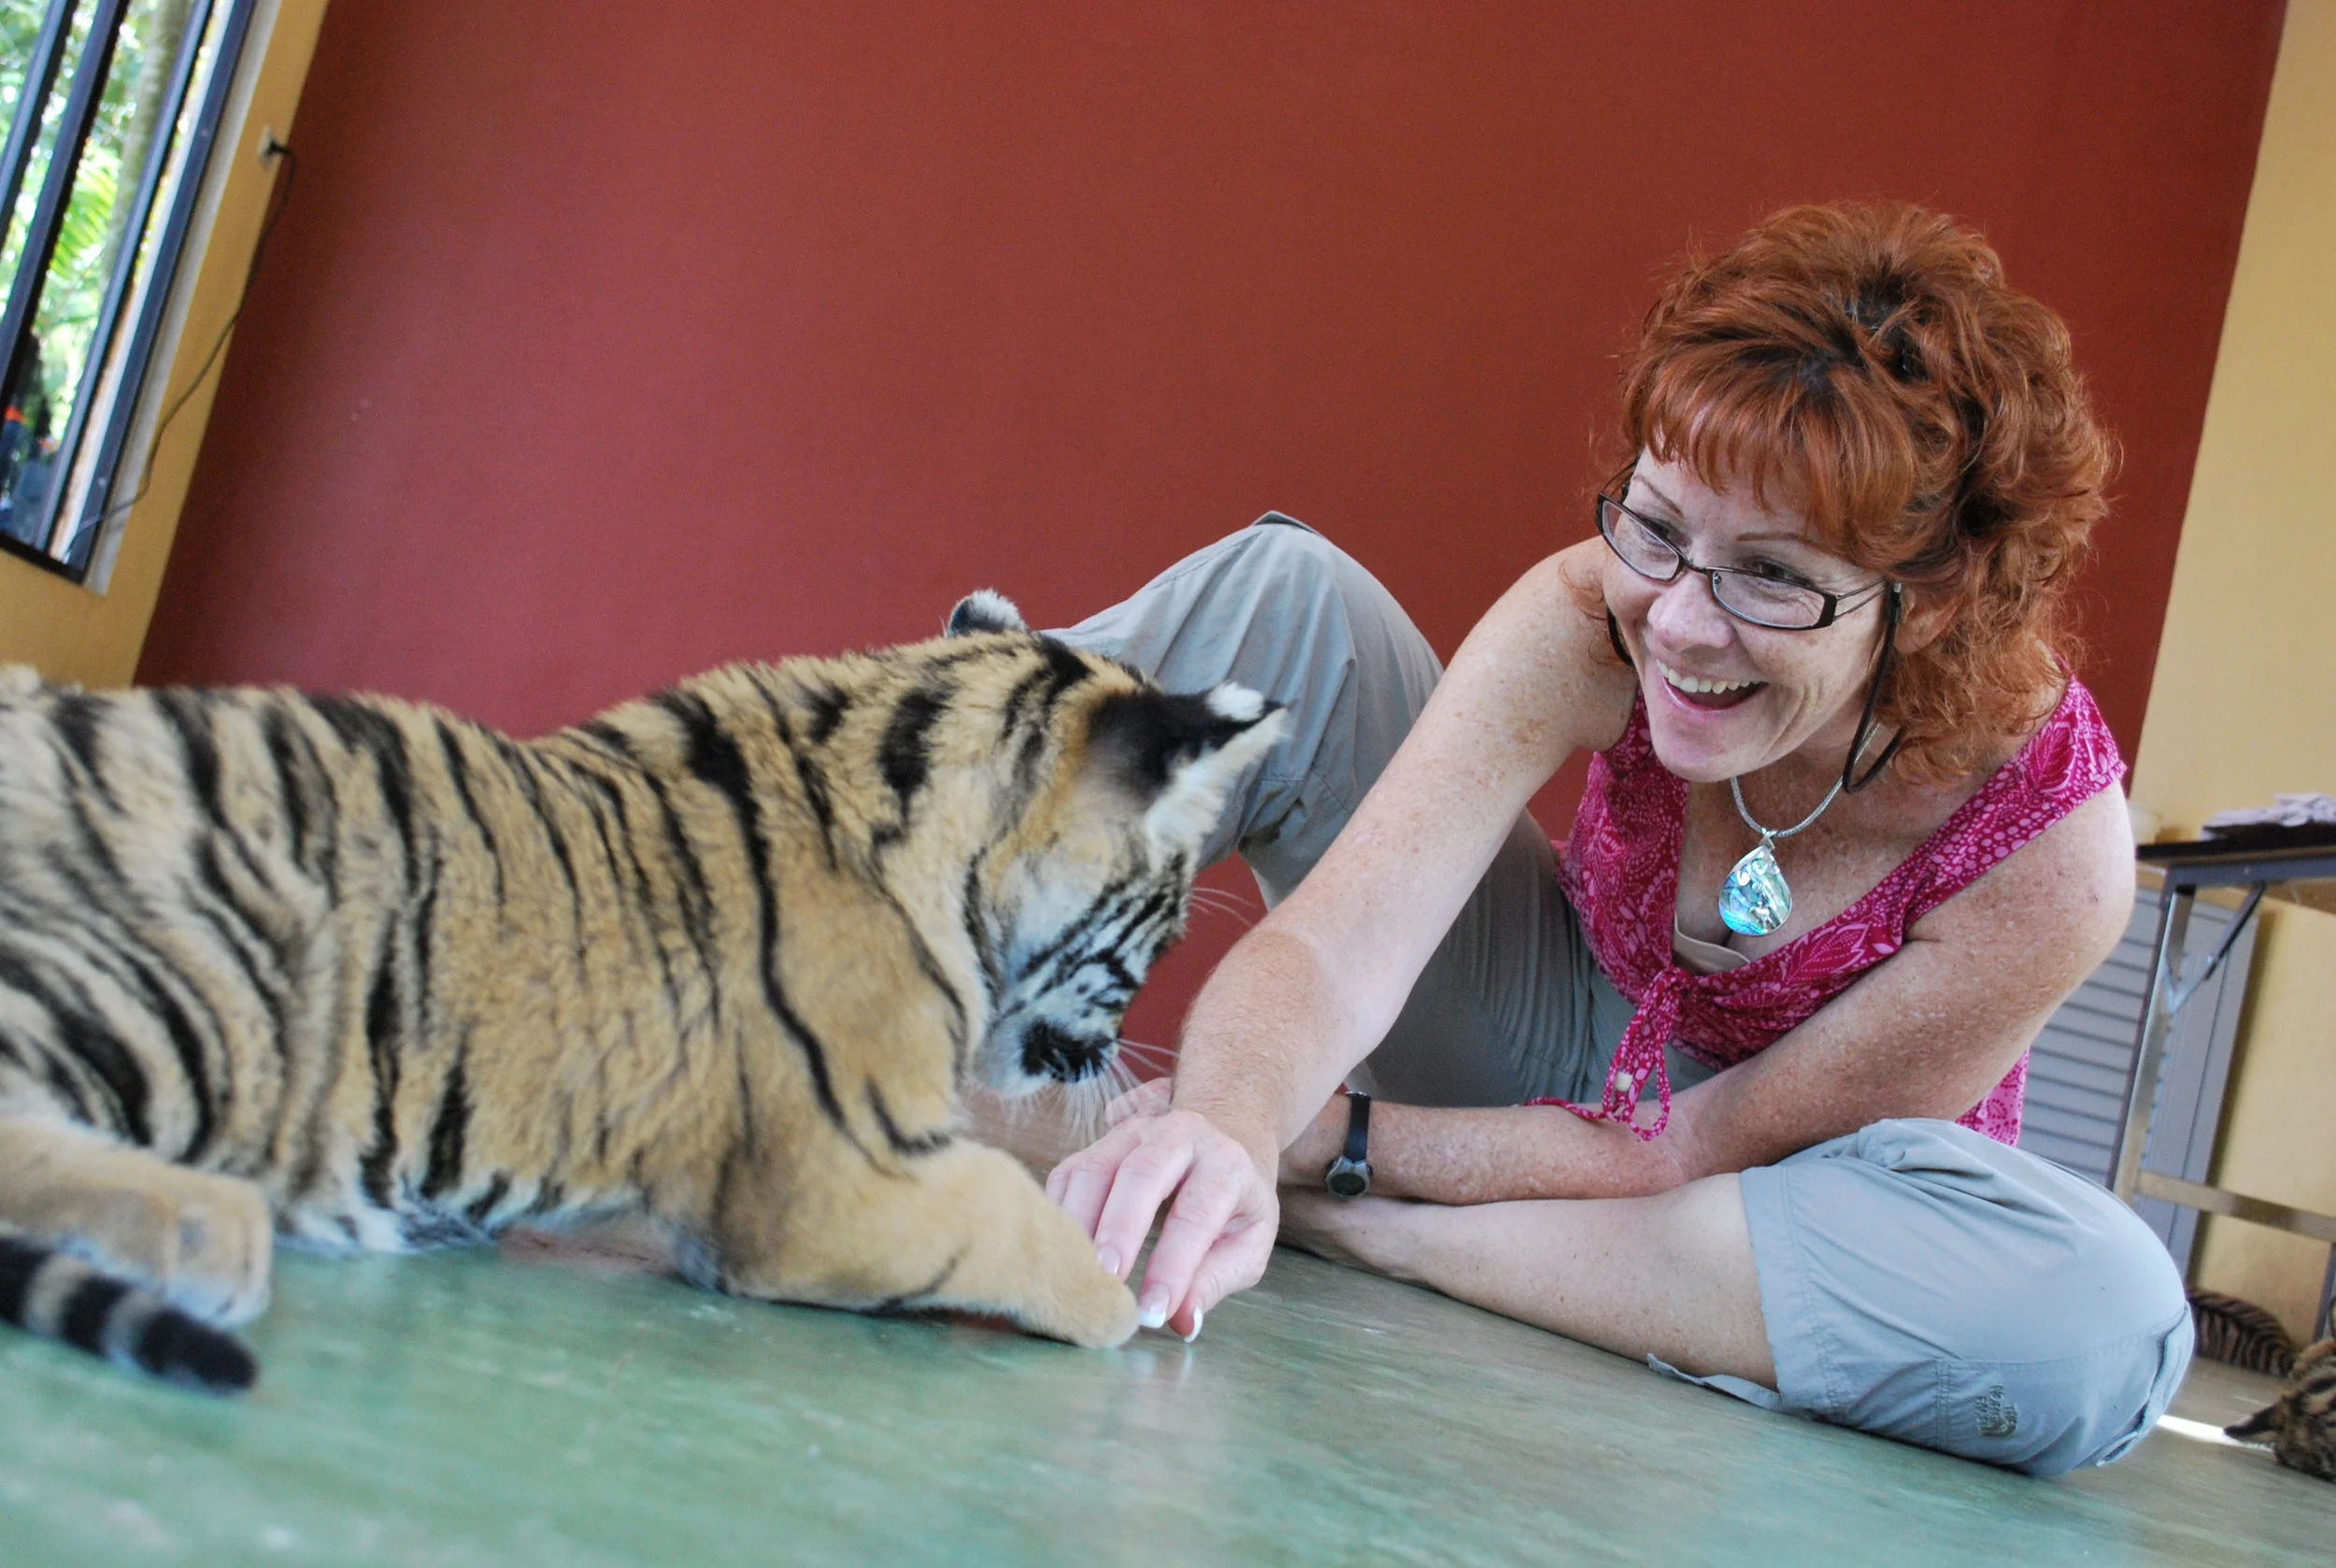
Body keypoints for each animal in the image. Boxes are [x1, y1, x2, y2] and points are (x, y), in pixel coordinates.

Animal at [0, 590, 1282, 1390]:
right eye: (1168, 928)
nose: (1119, 1056)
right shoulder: (841, 1180)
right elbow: (1015, 1216)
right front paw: (1121, 1293)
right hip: (208, 971)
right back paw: (215, 1229)